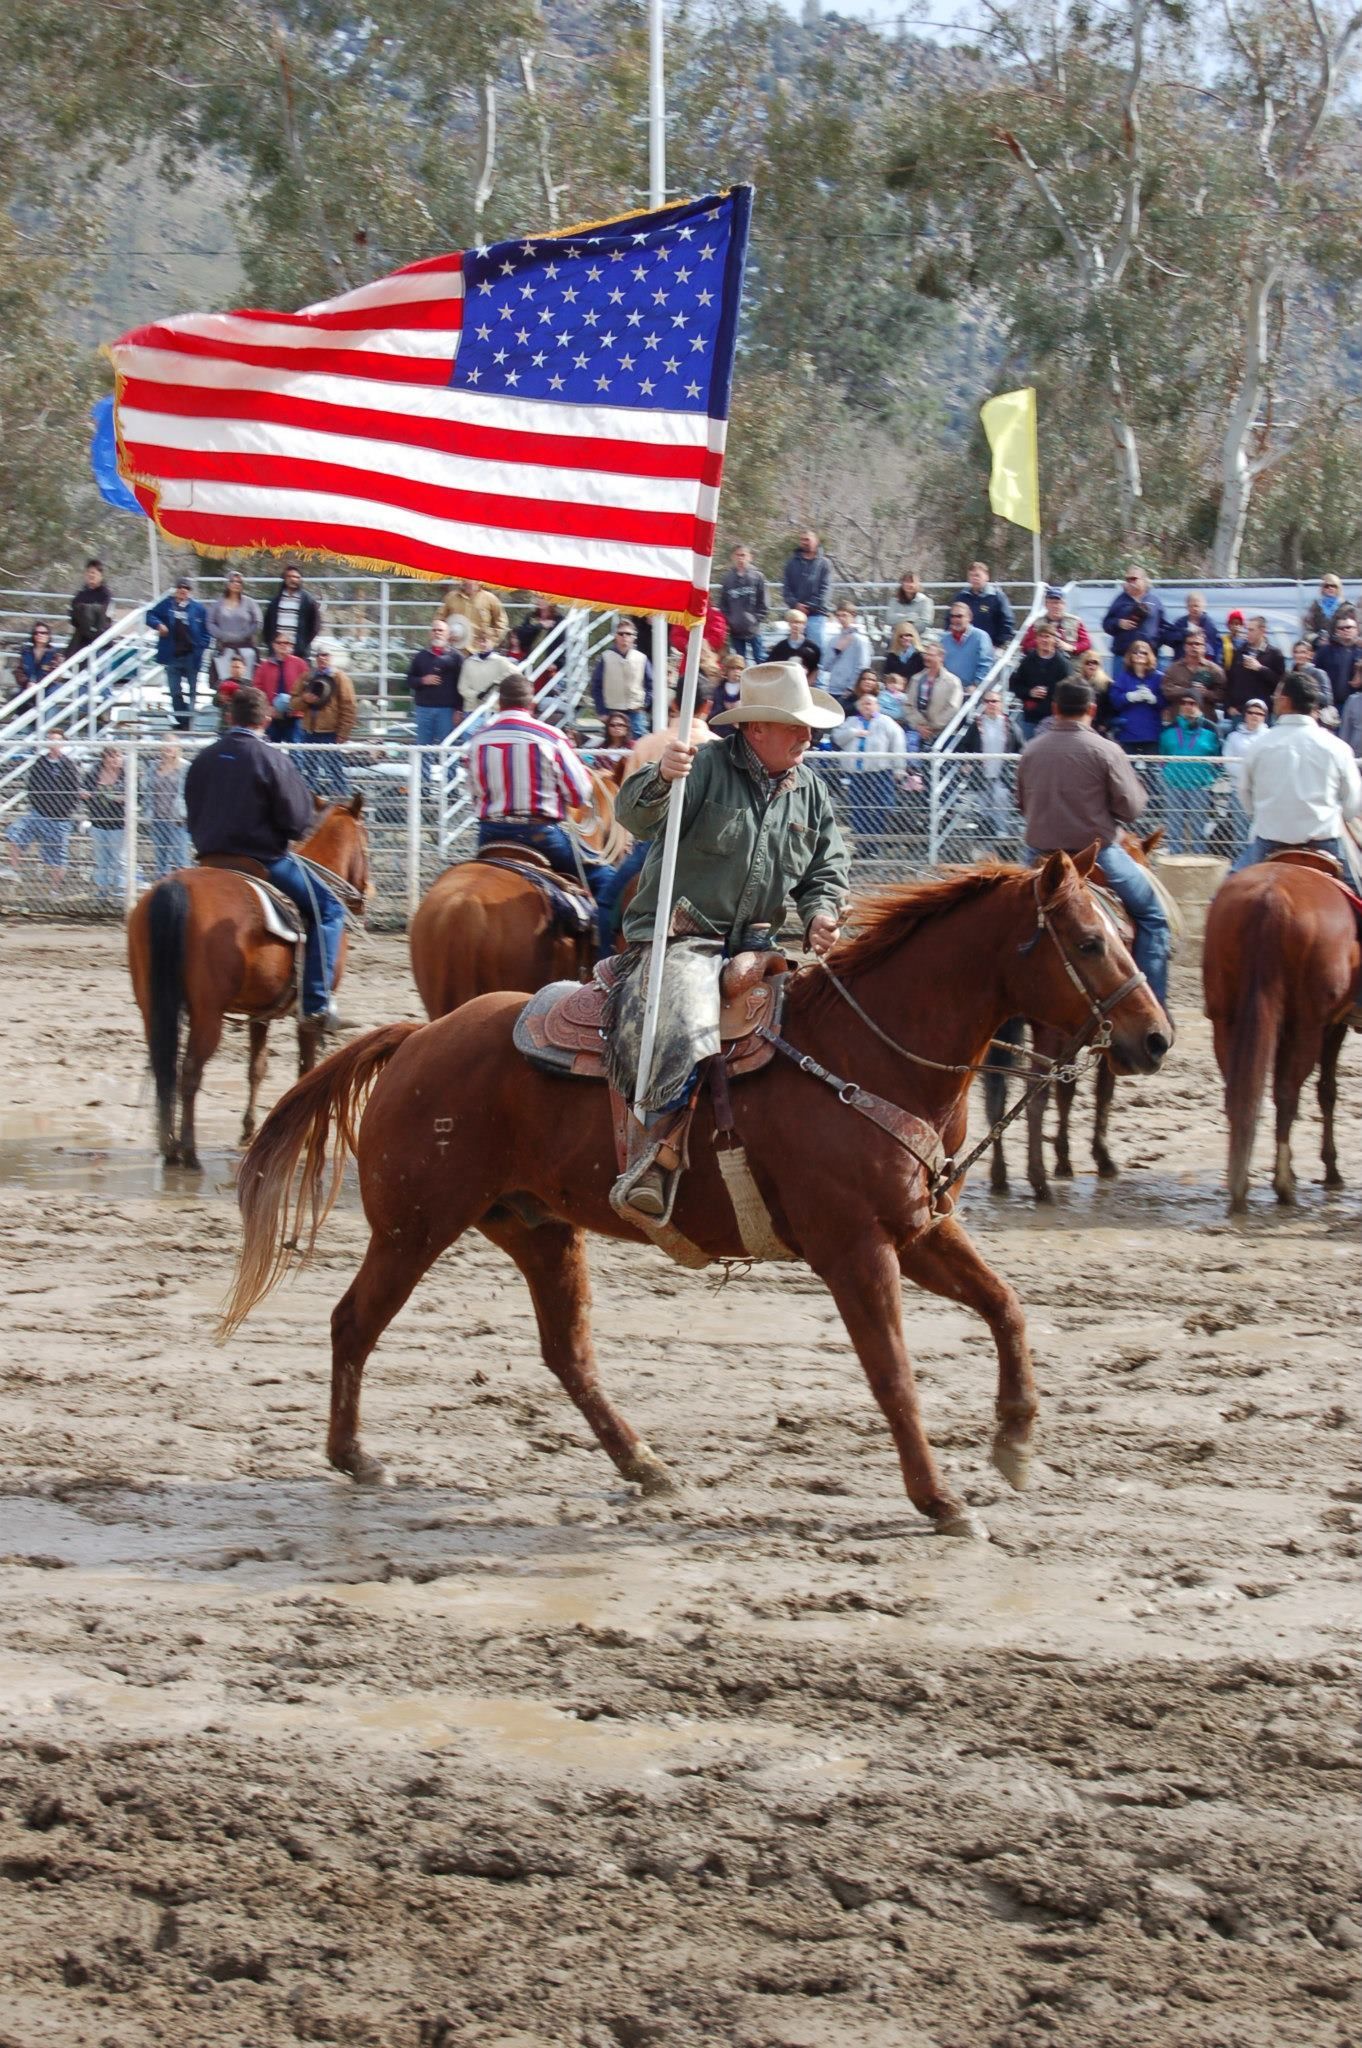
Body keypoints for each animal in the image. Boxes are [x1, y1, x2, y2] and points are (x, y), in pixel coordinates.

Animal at [126, 798, 368, 1171]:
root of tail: (175, 889)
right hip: (207, 1013)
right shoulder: (305, 1014)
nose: (364, 896)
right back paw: (188, 1151)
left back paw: (169, 1146)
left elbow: (257, 1068)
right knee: (190, 1071)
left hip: (153, 1006)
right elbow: (307, 1067)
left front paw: (249, 1131)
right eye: (367, 845)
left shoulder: (261, 1011)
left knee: (164, 1067)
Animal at [223, 847, 1171, 1540]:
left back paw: (645, 1465)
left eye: (1120, 931)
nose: (1155, 1038)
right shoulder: (855, 1251)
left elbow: (1007, 1307)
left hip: (538, 1230)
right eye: (1089, 942)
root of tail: (418, 1037)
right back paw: (356, 1457)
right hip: (415, 1226)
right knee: (355, 1322)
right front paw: (940, 1500)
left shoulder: (920, 1230)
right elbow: (894, 1374)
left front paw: (1015, 1443)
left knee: (568, 1354)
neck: (867, 1054)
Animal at [1204, 851, 1351, 1204]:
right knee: (1287, 1092)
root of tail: (1271, 897)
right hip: (1306, 1026)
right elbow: (1327, 1091)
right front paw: (1331, 1170)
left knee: (1239, 1091)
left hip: (1226, 1019)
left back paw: (1242, 1180)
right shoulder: (1332, 1026)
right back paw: (1283, 1184)